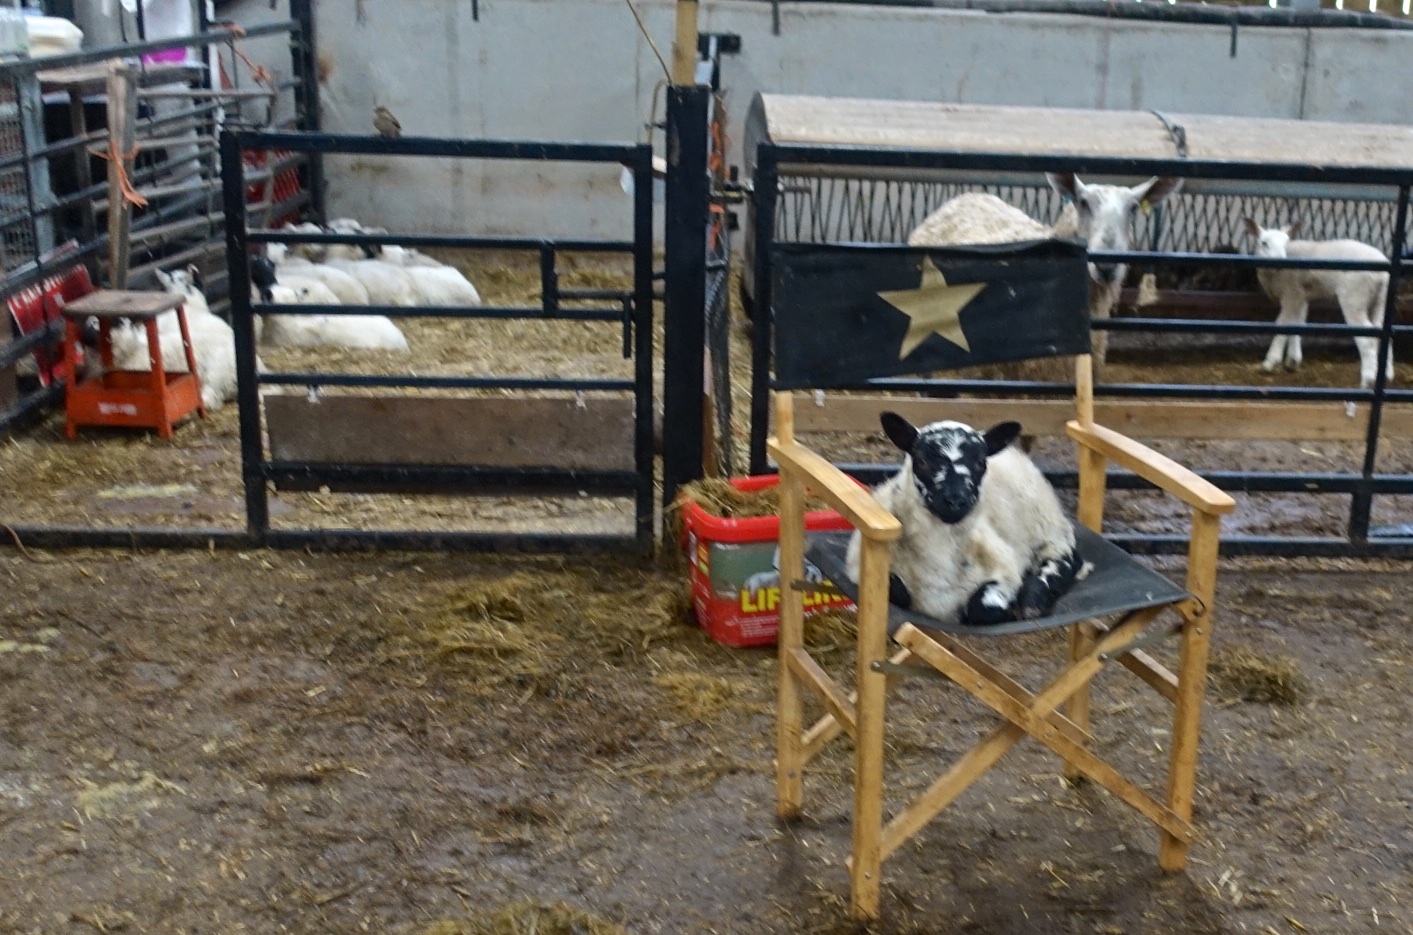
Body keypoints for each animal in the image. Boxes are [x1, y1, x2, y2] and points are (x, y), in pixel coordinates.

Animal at [842, 412, 1085, 627]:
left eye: (980, 463)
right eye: (921, 461)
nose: (956, 500)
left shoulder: (1004, 571)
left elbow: (981, 608)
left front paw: (1013, 608)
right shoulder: (860, 569)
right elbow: (900, 592)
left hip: (1049, 529)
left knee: (1067, 560)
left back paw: (1033, 601)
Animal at [1249, 220, 1390, 395]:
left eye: (1286, 243)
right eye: (1264, 243)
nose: (1280, 260)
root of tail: (1382, 275)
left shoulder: (1291, 293)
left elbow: (1283, 324)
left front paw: (1270, 362)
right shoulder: (1301, 297)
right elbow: (1297, 324)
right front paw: (1293, 361)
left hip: (1354, 297)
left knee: (1368, 339)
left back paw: (1367, 381)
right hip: (1381, 300)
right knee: (1382, 332)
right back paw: (1386, 374)